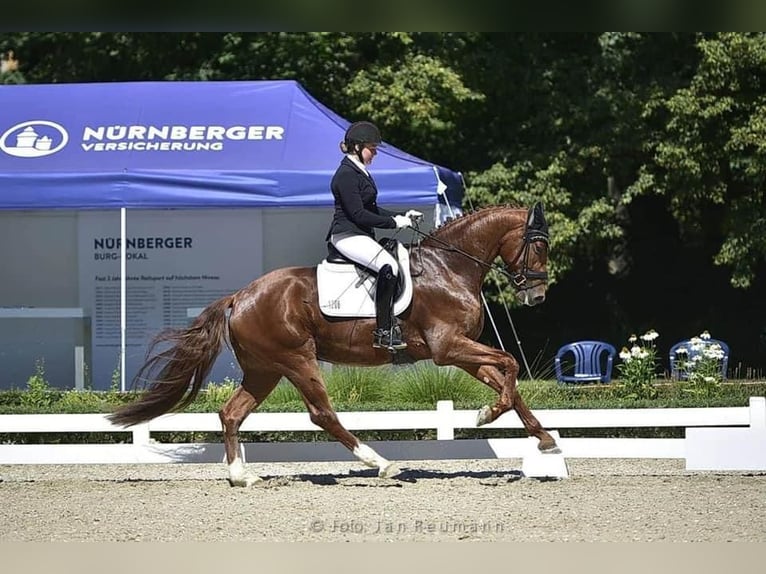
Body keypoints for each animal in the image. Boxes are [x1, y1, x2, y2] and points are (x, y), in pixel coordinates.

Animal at [108, 202, 560, 486]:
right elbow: (510, 365)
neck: (449, 267)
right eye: (539, 244)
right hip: (296, 359)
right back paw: (381, 464)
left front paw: (545, 440)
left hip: (263, 369)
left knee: (231, 413)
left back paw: (241, 476)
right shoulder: (448, 347)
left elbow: (509, 381)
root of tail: (240, 295)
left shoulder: (459, 351)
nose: (537, 297)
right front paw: (486, 415)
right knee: (322, 413)